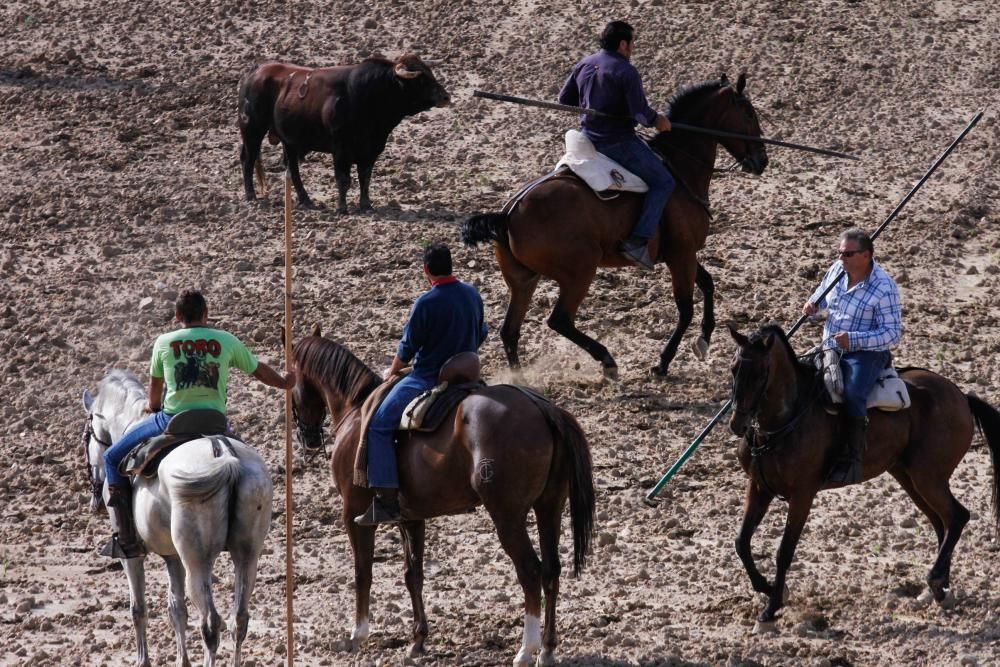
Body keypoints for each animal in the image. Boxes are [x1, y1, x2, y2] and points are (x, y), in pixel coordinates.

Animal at [81, 370, 272, 667]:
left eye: (86, 435)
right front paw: (183, 660)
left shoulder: (131, 557)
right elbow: (176, 609)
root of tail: (224, 453)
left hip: (198, 562)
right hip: (247, 555)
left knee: (210, 623)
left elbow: (139, 609)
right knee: (238, 619)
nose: (96, 503)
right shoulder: (173, 557)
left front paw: (143, 660)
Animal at [238, 55, 450, 211]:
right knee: (248, 159)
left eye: (431, 73)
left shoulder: (372, 150)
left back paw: (306, 200)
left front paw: (366, 204)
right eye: (421, 79)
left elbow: (365, 177)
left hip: (289, 141)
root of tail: (257, 69)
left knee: (292, 169)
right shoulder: (340, 149)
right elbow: (343, 179)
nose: (446, 97)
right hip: (252, 130)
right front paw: (342, 207)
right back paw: (251, 195)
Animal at [290, 332, 592, 664]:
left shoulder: (354, 513)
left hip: (508, 518)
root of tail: (541, 407)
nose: (307, 437)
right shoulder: (410, 518)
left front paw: (358, 634)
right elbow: (413, 574)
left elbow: (362, 571)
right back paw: (547, 649)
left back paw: (526, 650)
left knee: (530, 571)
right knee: (551, 570)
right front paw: (418, 641)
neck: (356, 411)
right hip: (549, 506)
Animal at [458, 75, 768, 378]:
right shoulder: (682, 254)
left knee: (510, 331)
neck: (680, 170)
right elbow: (685, 308)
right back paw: (607, 360)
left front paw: (703, 339)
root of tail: (508, 214)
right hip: (580, 272)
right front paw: (662, 363)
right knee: (559, 320)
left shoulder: (681, 253)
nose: (762, 161)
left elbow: (707, 283)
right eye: (749, 113)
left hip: (523, 280)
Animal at [728, 324, 1000, 632]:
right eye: (734, 369)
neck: (787, 419)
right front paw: (767, 588)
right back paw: (940, 587)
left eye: (760, 373)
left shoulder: (802, 495)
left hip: (928, 477)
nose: (737, 424)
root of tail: (962, 396)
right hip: (909, 477)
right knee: (941, 522)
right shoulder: (759, 487)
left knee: (957, 517)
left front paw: (771, 607)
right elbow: (741, 542)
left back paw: (935, 581)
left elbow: (784, 552)